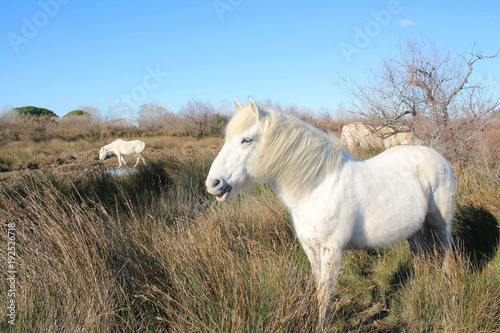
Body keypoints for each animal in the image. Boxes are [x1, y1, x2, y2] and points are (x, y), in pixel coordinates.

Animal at [205, 97, 456, 328]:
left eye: (246, 140)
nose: (213, 184)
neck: (316, 187)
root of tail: (436, 156)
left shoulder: (332, 250)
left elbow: (326, 294)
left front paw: (322, 326)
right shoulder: (311, 248)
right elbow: (319, 290)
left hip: (440, 221)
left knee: (446, 250)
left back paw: (447, 287)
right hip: (413, 230)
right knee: (422, 257)